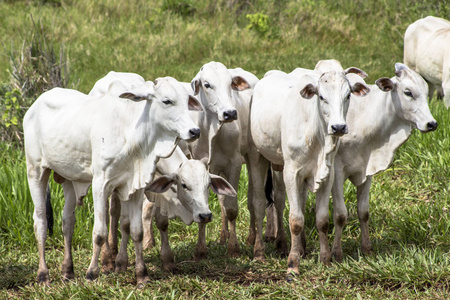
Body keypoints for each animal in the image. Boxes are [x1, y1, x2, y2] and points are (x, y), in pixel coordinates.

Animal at [22, 76, 202, 284]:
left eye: (187, 101)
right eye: (167, 101)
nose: (195, 131)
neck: (131, 135)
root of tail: (35, 105)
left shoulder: (135, 188)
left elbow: (137, 232)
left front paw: (142, 275)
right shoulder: (100, 185)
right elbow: (100, 233)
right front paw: (92, 273)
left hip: (68, 177)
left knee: (67, 222)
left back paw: (68, 271)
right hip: (35, 171)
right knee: (40, 222)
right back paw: (43, 274)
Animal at [185, 61, 255, 258]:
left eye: (230, 83)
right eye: (207, 85)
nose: (230, 113)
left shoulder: (235, 163)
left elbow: (231, 208)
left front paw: (234, 248)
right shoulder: (204, 165)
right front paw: (200, 249)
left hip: (253, 156)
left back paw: (252, 238)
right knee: (223, 199)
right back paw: (223, 237)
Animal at [248, 63, 370, 276]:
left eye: (348, 95)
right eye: (321, 96)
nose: (338, 127)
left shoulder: (327, 175)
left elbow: (322, 220)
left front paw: (325, 260)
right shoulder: (291, 173)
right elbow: (296, 220)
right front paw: (292, 265)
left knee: (282, 201)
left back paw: (290, 246)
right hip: (259, 158)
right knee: (261, 204)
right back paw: (260, 252)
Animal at [330, 62, 436, 260]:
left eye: (426, 93)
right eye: (408, 92)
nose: (432, 124)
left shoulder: (368, 170)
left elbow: (363, 211)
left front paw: (367, 248)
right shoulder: (337, 171)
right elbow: (340, 215)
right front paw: (336, 253)